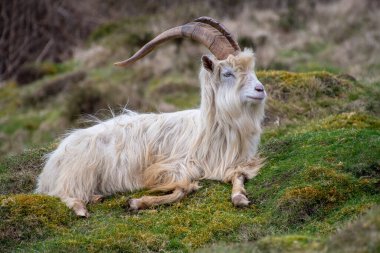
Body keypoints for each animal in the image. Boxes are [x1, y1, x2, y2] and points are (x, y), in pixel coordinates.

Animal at [36, 16, 268, 216]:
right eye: (228, 73)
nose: (261, 89)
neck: (206, 130)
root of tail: (53, 162)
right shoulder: (170, 167)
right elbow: (183, 189)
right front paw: (136, 202)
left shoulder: (232, 163)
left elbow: (238, 175)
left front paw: (240, 197)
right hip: (79, 172)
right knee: (62, 193)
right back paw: (81, 209)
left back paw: (96, 198)